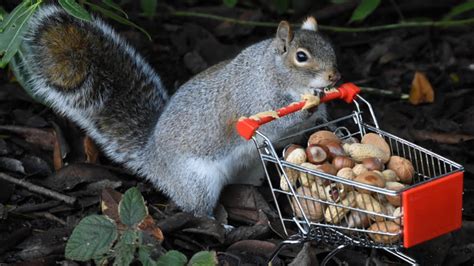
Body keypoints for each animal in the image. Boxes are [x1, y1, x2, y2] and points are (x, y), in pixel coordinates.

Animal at [20, 4, 338, 216]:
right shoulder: (252, 101)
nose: (334, 76)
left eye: (330, 48)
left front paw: (323, 113)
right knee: (196, 208)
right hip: (197, 182)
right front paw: (309, 109)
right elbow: (272, 124)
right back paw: (219, 223)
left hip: (250, 170)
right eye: (301, 57)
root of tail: (152, 159)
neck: (273, 72)